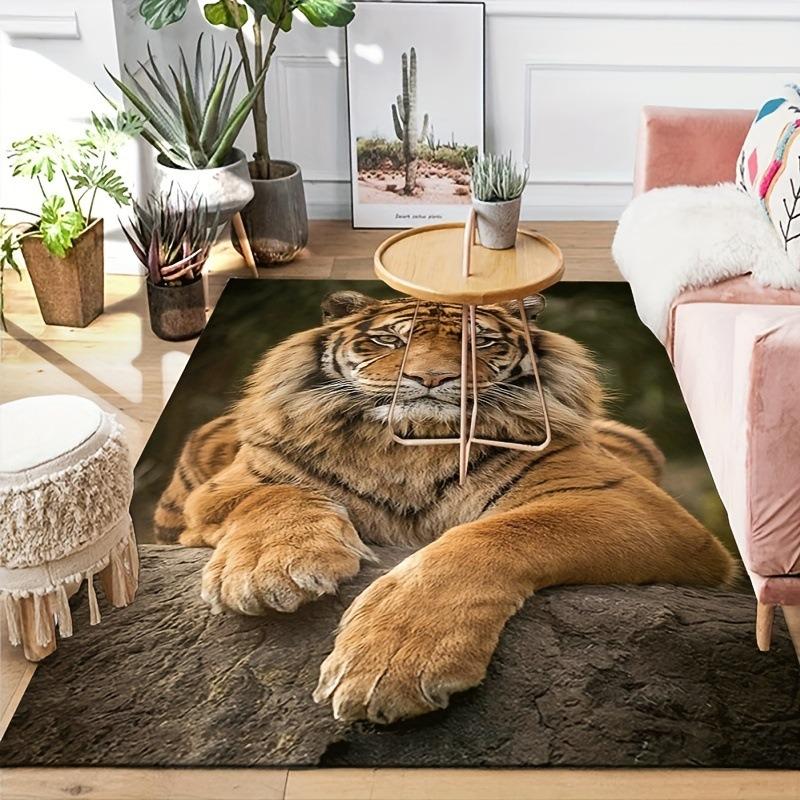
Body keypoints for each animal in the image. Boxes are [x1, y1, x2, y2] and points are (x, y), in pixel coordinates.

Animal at [154, 290, 735, 724]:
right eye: (389, 339)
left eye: (481, 342)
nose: (431, 379)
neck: (411, 445)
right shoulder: (234, 482)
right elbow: (278, 494)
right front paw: (269, 572)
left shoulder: (629, 500)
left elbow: (498, 534)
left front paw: (390, 665)